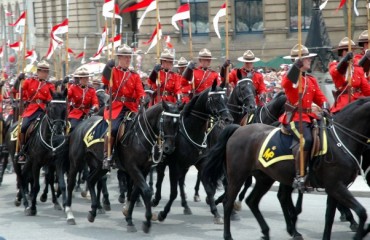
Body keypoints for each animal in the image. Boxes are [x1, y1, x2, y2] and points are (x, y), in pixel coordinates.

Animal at [202, 96, 370, 239]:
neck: (340, 139)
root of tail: (238, 129)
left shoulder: (334, 187)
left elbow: (329, 217)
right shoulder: (336, 186)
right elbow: (362, 212)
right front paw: (359, 233)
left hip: (265, 178)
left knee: (253, 201)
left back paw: (268, 231)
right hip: (237, 176)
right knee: (229, 202)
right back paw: (228, 233)